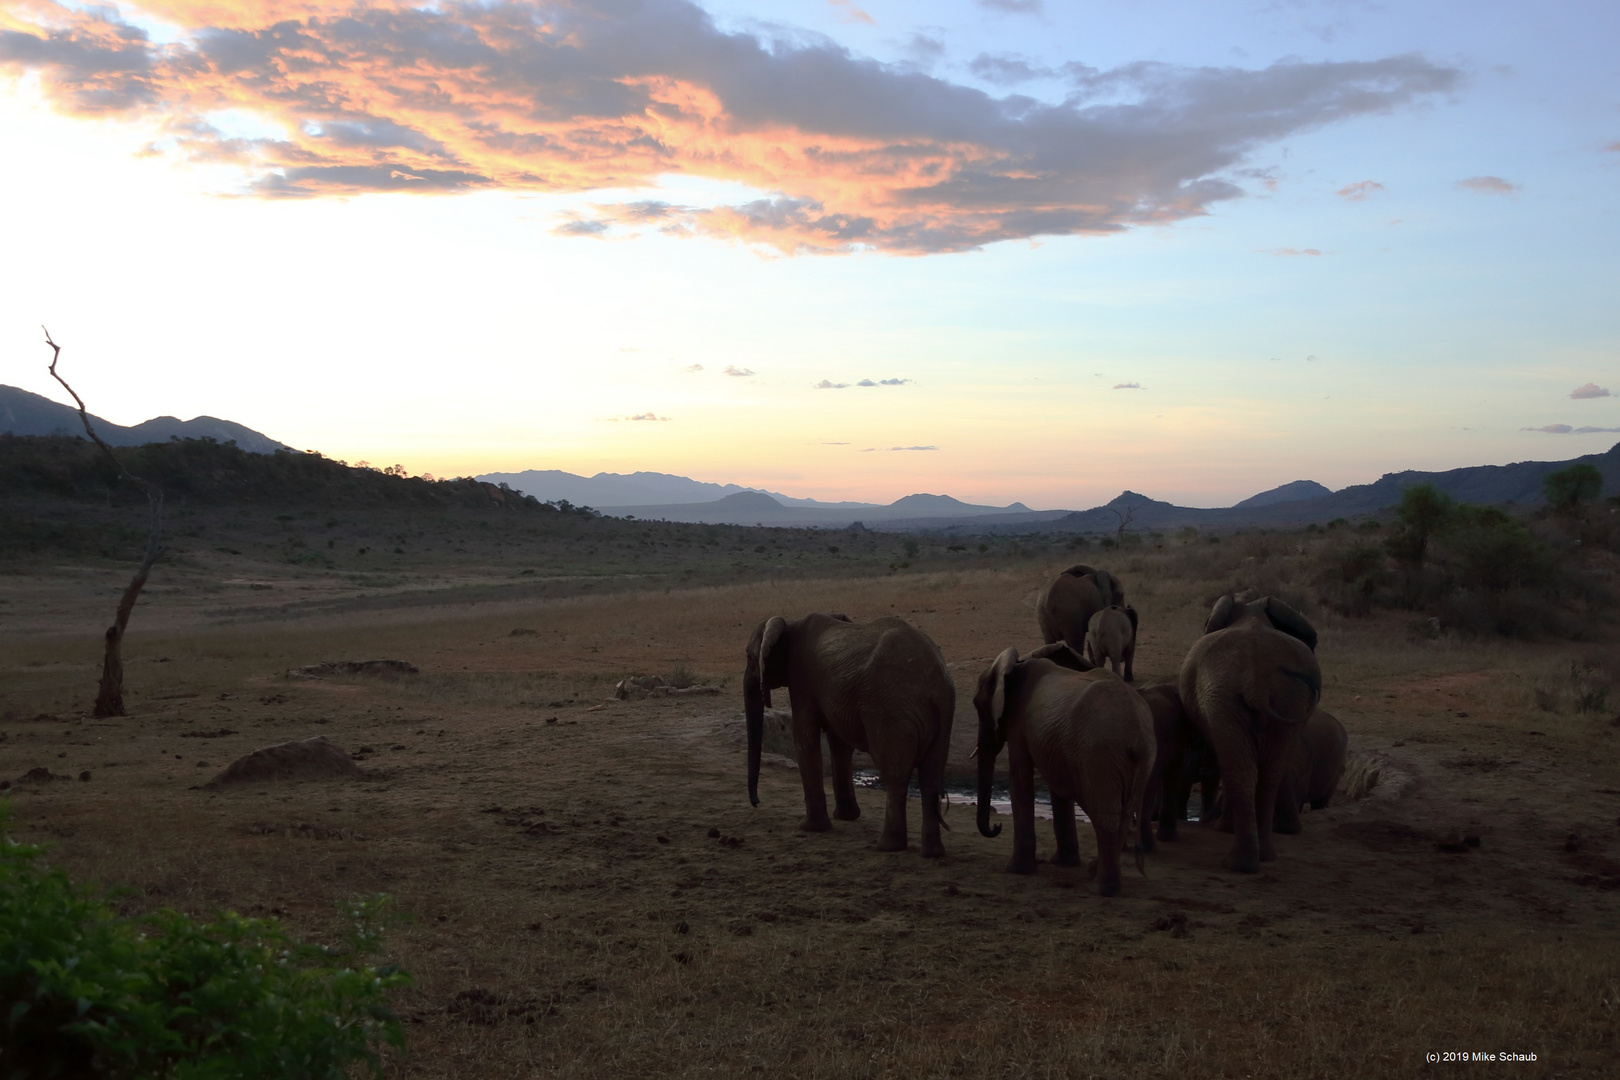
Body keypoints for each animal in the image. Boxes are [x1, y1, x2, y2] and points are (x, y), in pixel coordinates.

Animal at [748, 612, 959, 854]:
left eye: (748, 656)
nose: (756, 803)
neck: (790, 624)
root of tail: (939, 687)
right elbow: (839, 743)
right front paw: (846, 817)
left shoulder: (801, 680)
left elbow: (805, 738)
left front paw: (810, 828)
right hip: (937, 720)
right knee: (930, 776)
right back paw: (932, 853)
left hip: (891, 711)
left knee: (895, 773)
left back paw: (888, 847)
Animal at [965, 641, 1159, 893]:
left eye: (978, 706)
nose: (997, 826)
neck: (1018, 663)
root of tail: (1136, 733)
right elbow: (1057, 788)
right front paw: (1064, 863)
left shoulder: (1018, 721)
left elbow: (1020, 777)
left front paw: (1016, 870)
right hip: (1143, 759)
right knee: (1124, 815)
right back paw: (1095, 873)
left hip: (1098, 756)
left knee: (1106, 816)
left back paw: (1102, 888)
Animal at [1185, 595, 1321, 874]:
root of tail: (1256, 680)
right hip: (1286, 696)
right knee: (1268, 774)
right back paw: (1262, 856)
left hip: (1224, 697)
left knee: (1241, 771)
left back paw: (1238, 862)